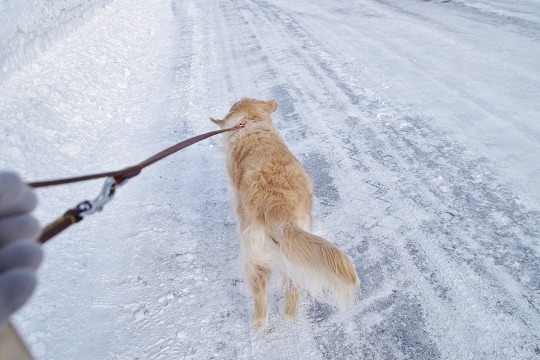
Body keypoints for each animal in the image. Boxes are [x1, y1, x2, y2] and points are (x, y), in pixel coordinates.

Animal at [211, 97, 358, 330]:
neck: (253, 125)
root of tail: (278, 205)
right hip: (295, 246)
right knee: (294, 284)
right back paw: (289, 313)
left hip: (254, 255)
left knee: (260, 292)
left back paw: (259, 322)